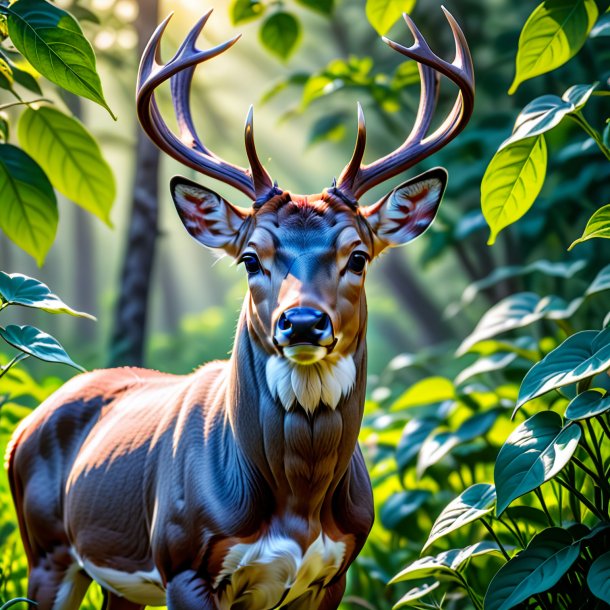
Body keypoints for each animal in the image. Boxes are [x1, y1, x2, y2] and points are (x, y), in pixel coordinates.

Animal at [5, 5, 476, 608]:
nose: (303, 322)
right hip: (45, 548)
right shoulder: (183, 564)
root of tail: (23, 426)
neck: (298, 504)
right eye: (251, 257)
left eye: (358, 256)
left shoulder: (336, 573)